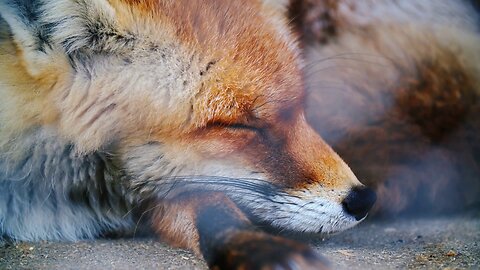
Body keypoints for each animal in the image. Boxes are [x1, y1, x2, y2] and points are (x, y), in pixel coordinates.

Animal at [0, 0, 478, 268]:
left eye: (301, 110)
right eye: (240, 123)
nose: (363, 200)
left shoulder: (163, 189)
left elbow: (213, 211)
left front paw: (259, 248)